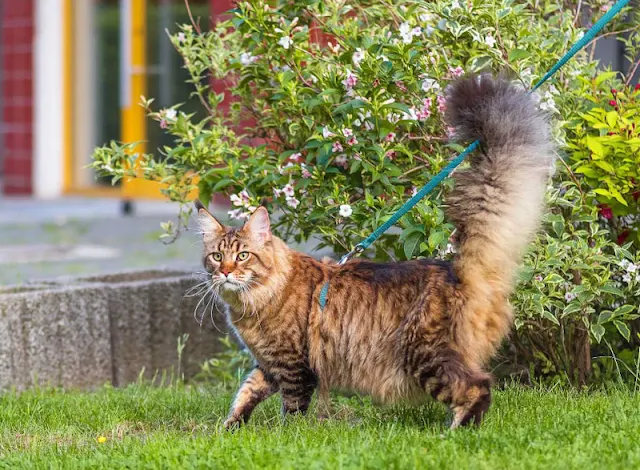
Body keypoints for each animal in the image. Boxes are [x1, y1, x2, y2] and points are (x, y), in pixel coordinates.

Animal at [195, 74, 556, 430]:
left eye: (243, 256)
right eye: (217, 256)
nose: (226, 272)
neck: (252, 302)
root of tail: (456, 269)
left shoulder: (294, 365)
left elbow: (292, 409)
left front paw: (287, 435)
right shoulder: (267, 365)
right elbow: (245, 394)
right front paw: (229, 429)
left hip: (426, 356)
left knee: (478, 387)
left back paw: (454, 433)